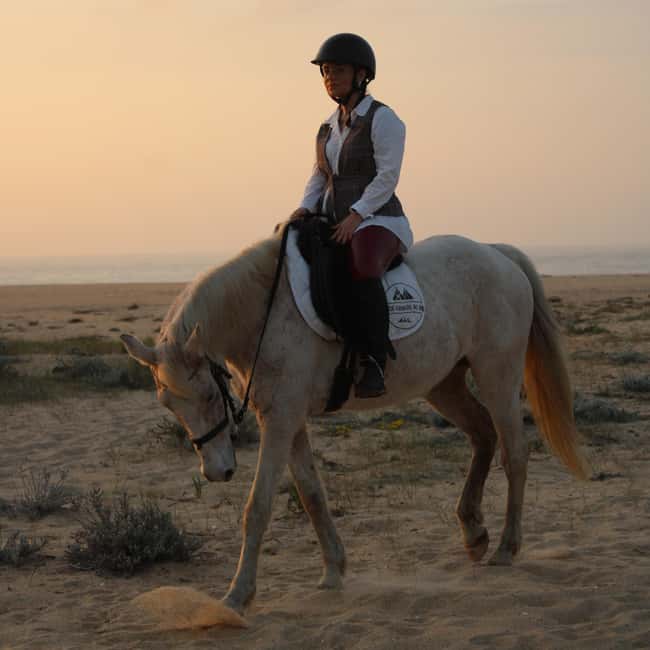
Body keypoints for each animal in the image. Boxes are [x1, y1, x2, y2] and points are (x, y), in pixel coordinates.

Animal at [121, 228, 587, 614]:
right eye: (167, 403)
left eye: (206, 395)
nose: (217, 472)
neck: (262, 313)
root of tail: (497, 254)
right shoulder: (287, 420)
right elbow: (312, 495)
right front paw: (333, 571)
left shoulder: (280, 421)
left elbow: (258, 507)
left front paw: (238, 595)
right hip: (444, 385)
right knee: (483, 437)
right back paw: (474, 534)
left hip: (498, 379)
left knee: (515, 455)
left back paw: (507, 547)